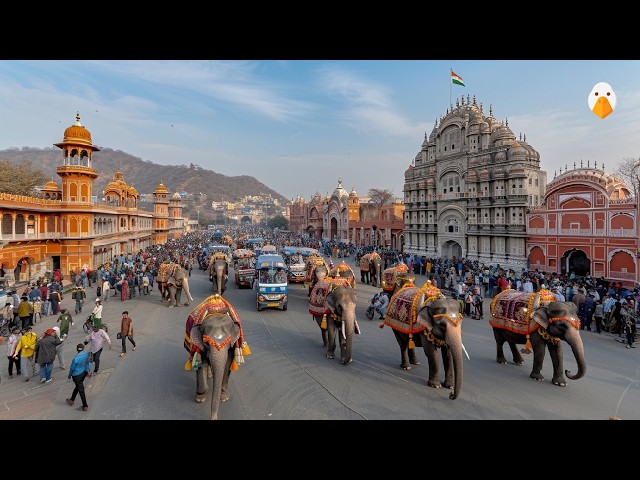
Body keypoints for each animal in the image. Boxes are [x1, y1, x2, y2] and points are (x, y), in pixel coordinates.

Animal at [184, 292, 251, 420]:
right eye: (206, 342)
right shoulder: (199, 344)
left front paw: (224, 397)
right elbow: (201, 362)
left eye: (229, 340)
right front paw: (200, 398)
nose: (214, 418)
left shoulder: (232, 345)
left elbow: (228, 363)